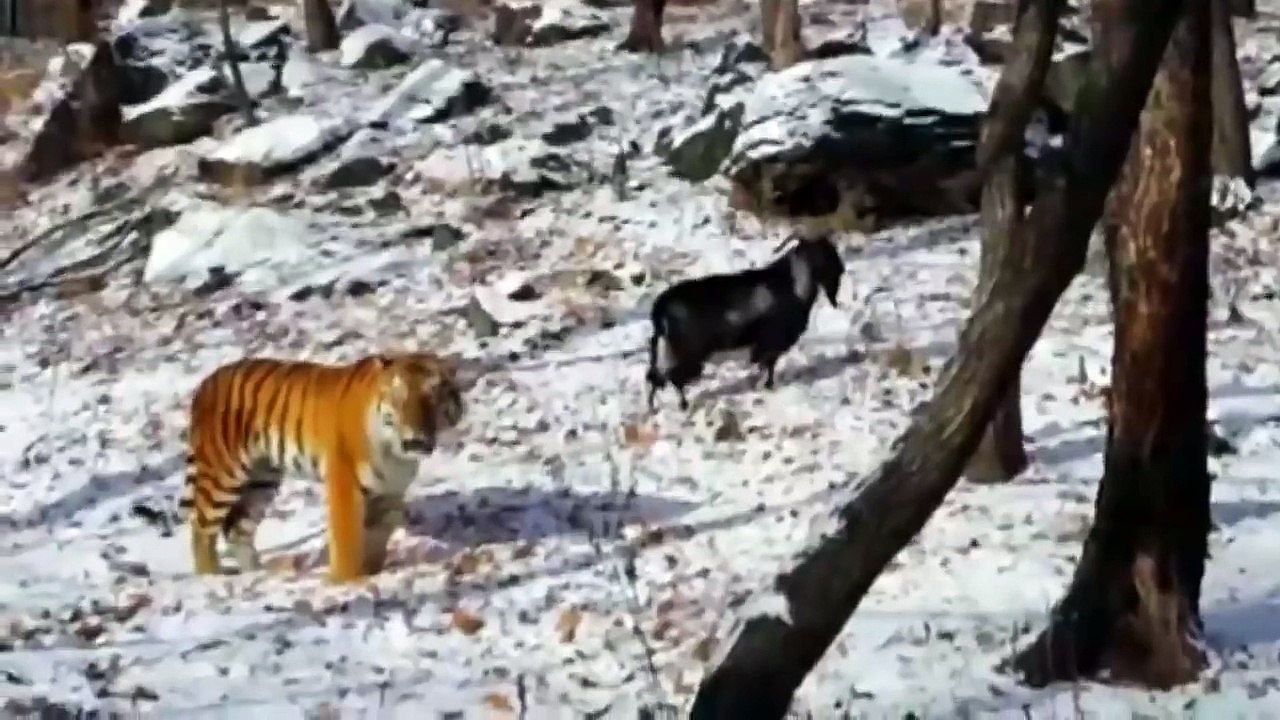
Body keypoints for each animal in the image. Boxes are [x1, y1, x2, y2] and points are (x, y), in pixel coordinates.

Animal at [178, 351, 468, 584]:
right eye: (399, 397)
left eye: (434, 396)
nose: (415, 438)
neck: (396, 453)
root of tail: (205, 383)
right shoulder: (345, 481)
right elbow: (347, 536)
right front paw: (347, 581)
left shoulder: (389, 490)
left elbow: (379, 532)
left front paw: (372, 570)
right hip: (223, 473)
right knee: (201, 526)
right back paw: (211, 576)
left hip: (262, 479)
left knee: (238, 529)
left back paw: (260, 573)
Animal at [645, 235, 845, 410]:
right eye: (818, 252)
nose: (841, 268)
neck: (791, 285)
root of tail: (660, 308)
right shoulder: (770, 340)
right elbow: (768, 364)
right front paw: (767, 386)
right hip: (687, 351)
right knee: (673, 377)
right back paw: (682, 405)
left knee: (656, 376)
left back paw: (653, 407)